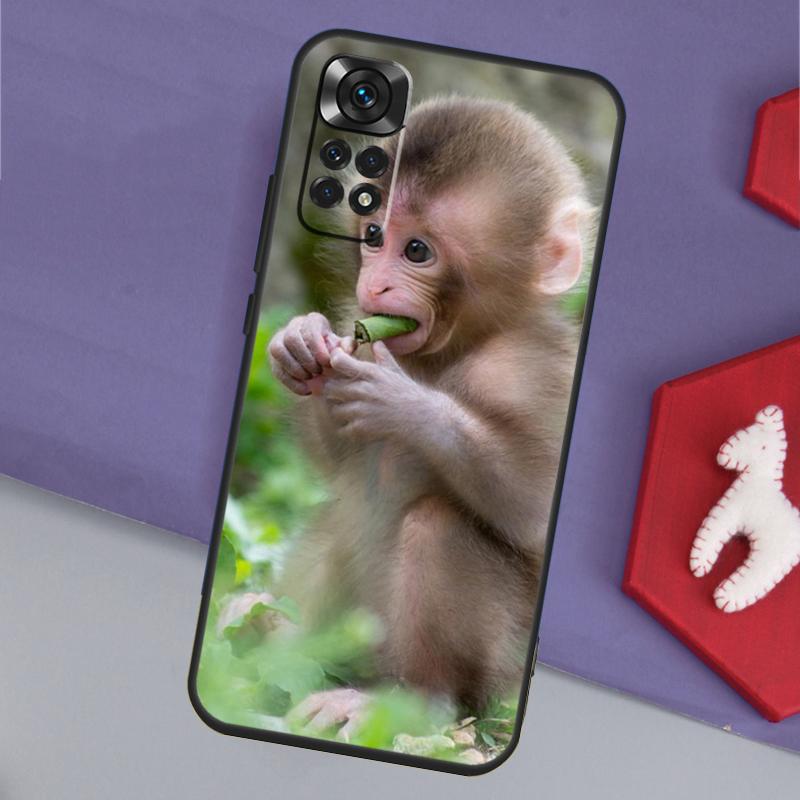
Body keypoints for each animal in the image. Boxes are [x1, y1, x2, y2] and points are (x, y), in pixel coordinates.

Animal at [258, 96, 593, 736]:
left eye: (417, 251)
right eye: (373, 236)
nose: (377, 283)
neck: (458, 346)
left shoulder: (531, 370)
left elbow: (535, 504)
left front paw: (405, 403)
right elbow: (338, 454)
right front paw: (302, 343)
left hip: (499, 672)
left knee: (435, 525)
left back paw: (413, 699)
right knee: (340, 515)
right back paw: (280, 633)